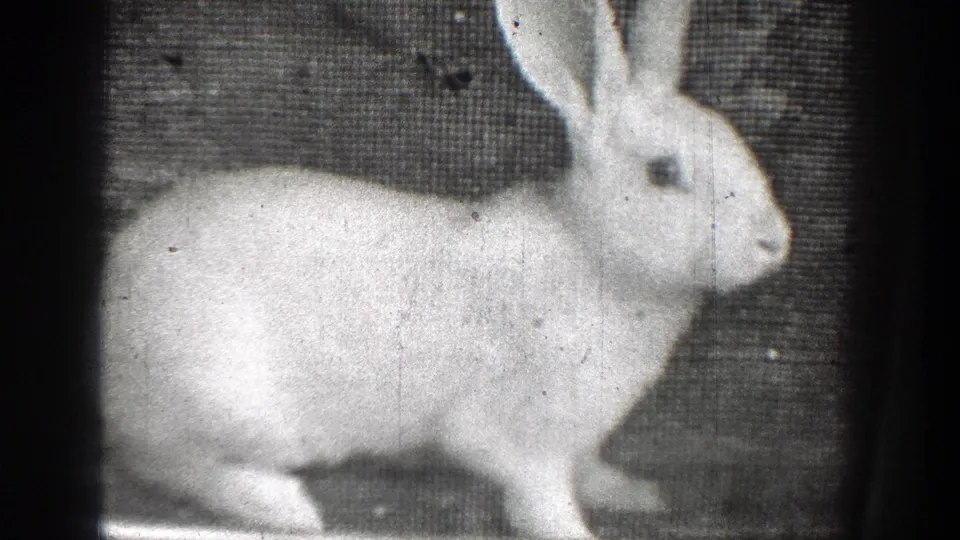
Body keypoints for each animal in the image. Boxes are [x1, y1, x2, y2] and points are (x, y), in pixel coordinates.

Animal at [101, 0, 792, 538]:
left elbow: (588, 470)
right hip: (229, 405)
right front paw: (577, 530)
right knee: (170, 463)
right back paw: (286, 507)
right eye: (663, 173)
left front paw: (637, 494)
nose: (775, 240)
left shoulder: (580, 436)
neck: (596, 252)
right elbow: (540, 497)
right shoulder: (520, 433)